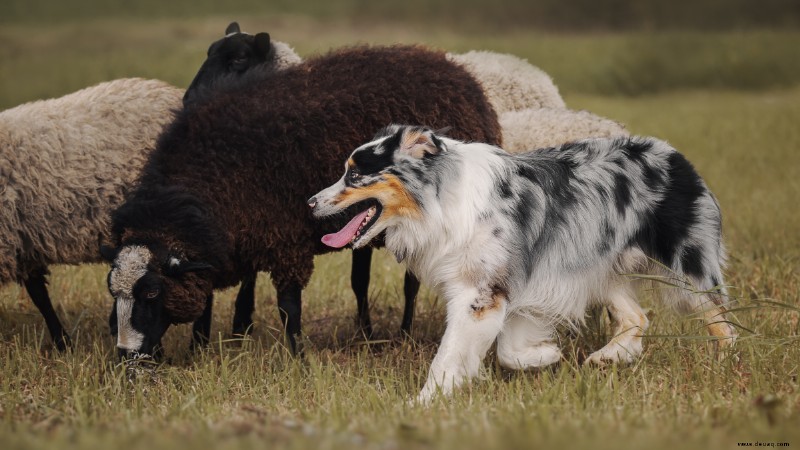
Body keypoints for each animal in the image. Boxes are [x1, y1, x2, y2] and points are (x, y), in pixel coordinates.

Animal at [103, 43, 504, 358]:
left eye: (152, 291)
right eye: (112, 290)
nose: (125, 355)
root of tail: (451, 68)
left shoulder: (286, 241)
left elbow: (288, 308)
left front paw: (297, 358)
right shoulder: (225, 245)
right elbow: (207, 302)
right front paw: (199, 349)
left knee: (412, 283)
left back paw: (404, 333)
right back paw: (366, 335)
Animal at [308, 123, 736, 400]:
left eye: (354, 175)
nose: (310, 202)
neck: (440, 200)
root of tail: (676, 156)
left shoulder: (480, 294)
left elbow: (447, 357)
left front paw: (423, 404)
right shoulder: (518, 289)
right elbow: (508, 352)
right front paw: (547, 356)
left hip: (688, 269)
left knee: (722, 321)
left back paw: (727, 368)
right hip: (597, 266)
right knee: (637, 316)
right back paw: (609, 355)